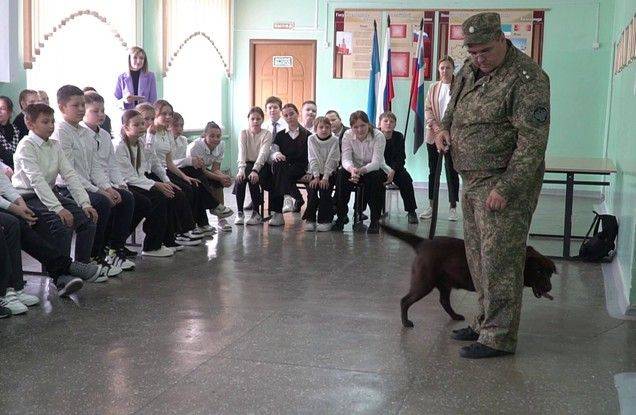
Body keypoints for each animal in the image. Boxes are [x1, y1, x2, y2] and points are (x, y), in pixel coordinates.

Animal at [380, 226, 556, 330]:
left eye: (549, 273)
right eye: (539, 271)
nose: (549, 288)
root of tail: (424, 243)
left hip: (444, 284)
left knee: (444, 301)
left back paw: (455, 316)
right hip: (424, 282)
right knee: (404, 300)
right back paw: (406, 322)